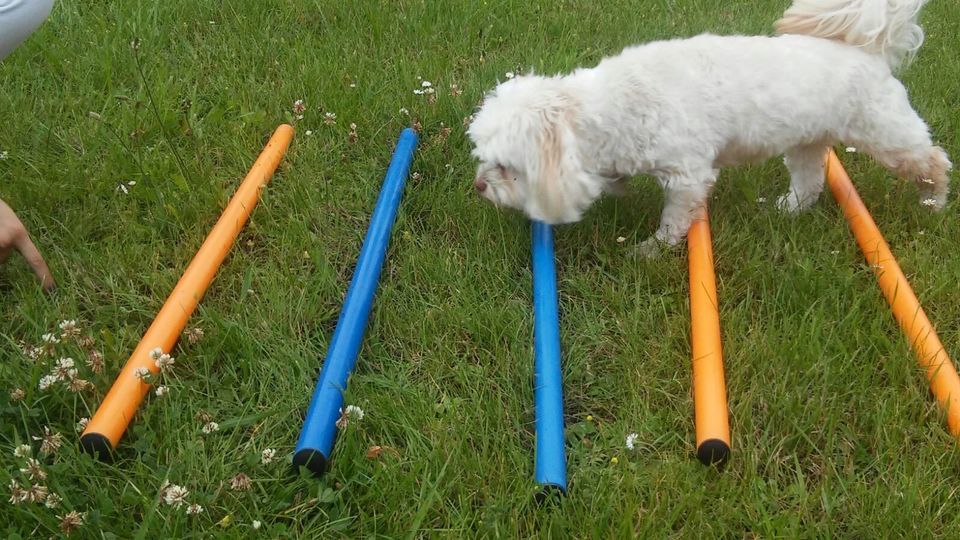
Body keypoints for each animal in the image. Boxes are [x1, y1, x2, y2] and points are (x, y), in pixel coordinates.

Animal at [468, 0, 948, 252]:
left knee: (933, 160)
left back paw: (934, 202)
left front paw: (653, 249)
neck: (613, 104)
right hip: (807, 142)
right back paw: (787, 209)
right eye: (484, 160)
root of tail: (868, 51)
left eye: (508, 167)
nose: (478, 186)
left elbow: (674, 218)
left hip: (886, 134)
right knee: (809, 182)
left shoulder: (687, 175)